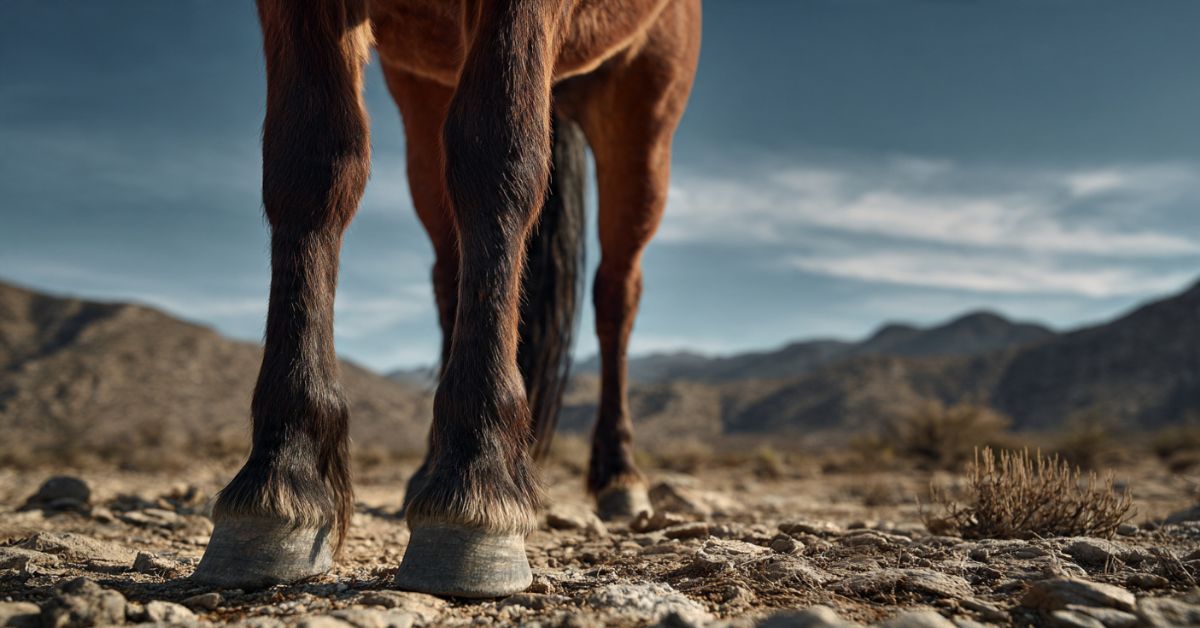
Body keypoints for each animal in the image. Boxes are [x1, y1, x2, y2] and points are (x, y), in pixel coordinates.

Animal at [191, 0, 701, 598]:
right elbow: (310, 166)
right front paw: (282, 475)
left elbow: (498, 157)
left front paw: (477, 485)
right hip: (427, 93)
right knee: (448, 270)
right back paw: (430, 466)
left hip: (643, 108)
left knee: (616, 294)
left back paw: (619, 473)